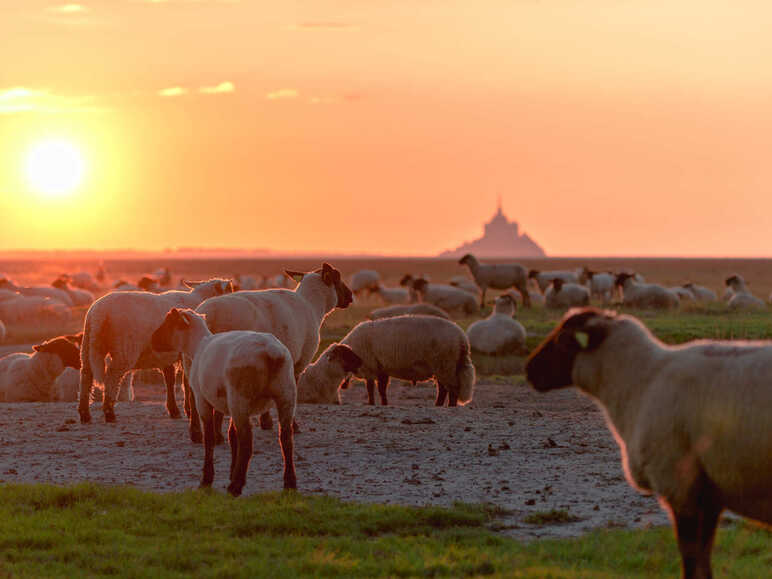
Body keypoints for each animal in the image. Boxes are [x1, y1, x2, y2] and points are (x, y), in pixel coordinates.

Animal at [79, 278, 234, 424]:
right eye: (230, 290)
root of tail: (99, 313)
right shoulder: (185, 353)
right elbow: (186, 382)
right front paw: (188, 410)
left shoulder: (168, 356)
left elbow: (170, 379)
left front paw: (174, 410)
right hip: (124, 349)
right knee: (112, 376)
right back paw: (109, 413)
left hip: (87, 344)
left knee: (86, 374)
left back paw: (84, 414)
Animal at [152, 308, 298, 494]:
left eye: (168, 323)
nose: (152, 340)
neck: (197, 346)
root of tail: (271, 353)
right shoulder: (227, 404)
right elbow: (232, 436)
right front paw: (231, 471)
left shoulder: (202, 399)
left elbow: (209, 437)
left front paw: (207, 480)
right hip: (286, 394)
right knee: (286, 438)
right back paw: (289, 483)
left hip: (240, 396)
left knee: (247, 440)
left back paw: (235, 486)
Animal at [340, 314, 476, 406]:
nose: (342, 386)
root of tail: (462, 338)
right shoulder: (381, 368)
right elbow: (382, 389)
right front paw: (384, 403)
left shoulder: (370, 367)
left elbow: (370, 389)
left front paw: (371, 403)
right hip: (443, 367)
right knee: (443, 389)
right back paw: (438, 405)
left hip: (445, 364)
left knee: (452, 389)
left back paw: (450, 406)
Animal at [524, 310, 772, 579]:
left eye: (563, 340)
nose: (529, 370)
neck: (641, 383)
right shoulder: (708, 493)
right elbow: (704, 565)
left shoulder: (680, 485)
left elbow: (691, 562)